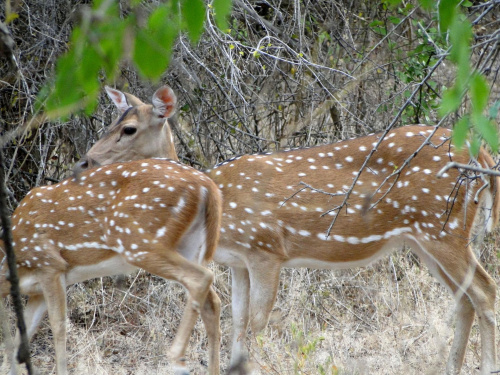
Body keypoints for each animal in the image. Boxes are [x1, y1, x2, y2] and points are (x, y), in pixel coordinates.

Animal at [0, 159, 223, 375]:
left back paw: (176, 358)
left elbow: (58, 326)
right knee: (212, 301)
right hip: (189, 245)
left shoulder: (50, 265)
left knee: (201, 278)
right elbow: (23, 331)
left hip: (137, 242)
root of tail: (206, 185)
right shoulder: (37, 290)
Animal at [75, 86, 500, 375]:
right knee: (465, 297)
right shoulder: (237, 262)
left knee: (484, 289)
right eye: (109, 122)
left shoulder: (267, 248)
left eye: (129, 129)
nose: (85, 161)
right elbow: (238, 321)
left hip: (442, 229)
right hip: (422, 238)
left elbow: (258, 323)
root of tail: (481, 155)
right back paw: (449, 368)